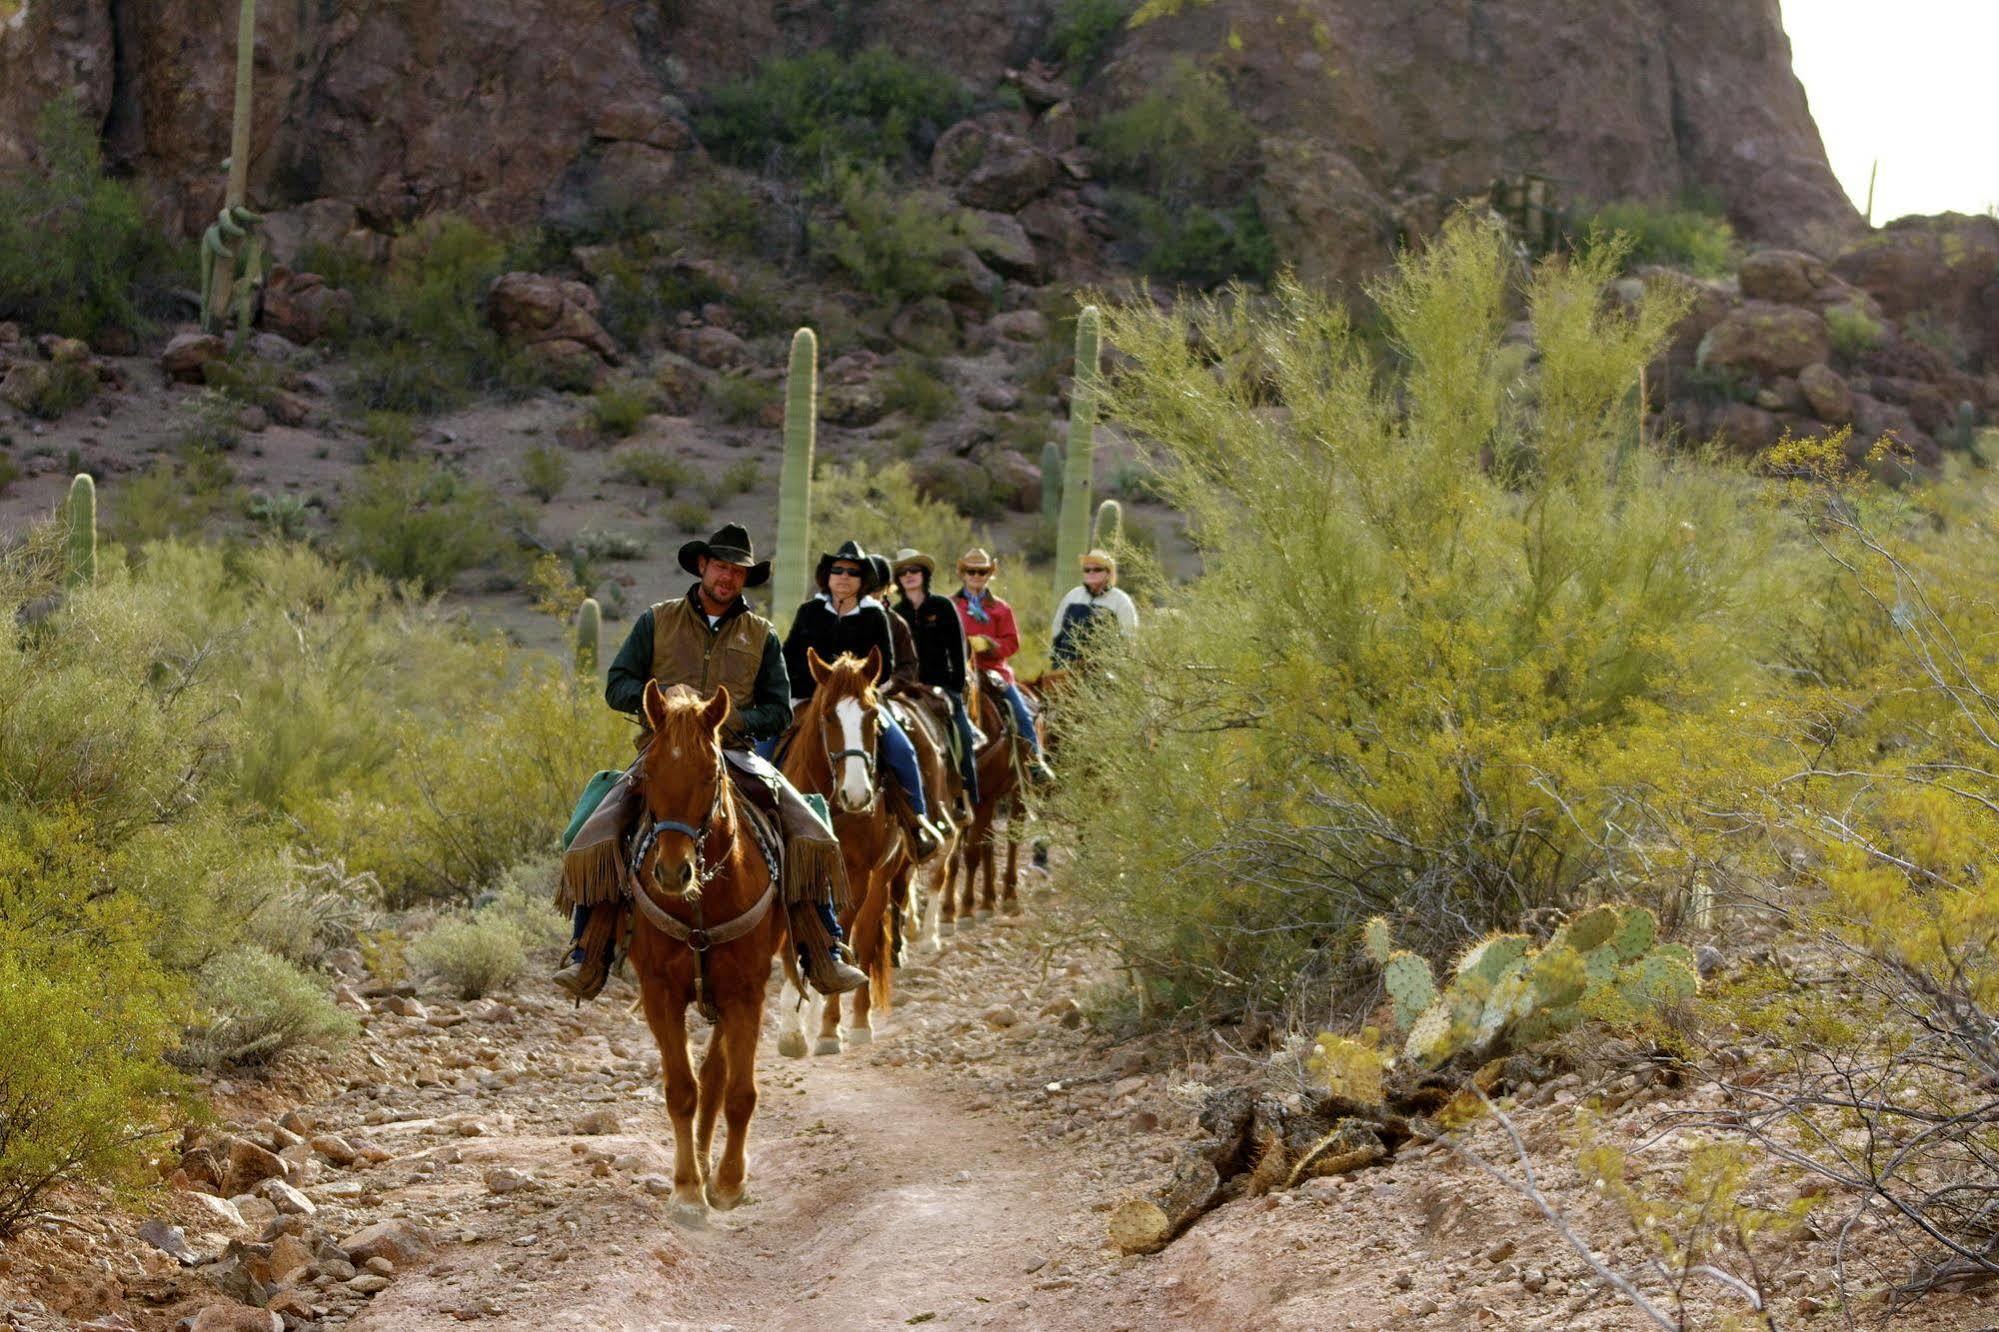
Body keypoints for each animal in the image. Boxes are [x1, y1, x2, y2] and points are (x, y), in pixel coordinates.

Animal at [627, 680, 783, 1216]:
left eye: (711, 773)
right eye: (648, 772)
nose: (674, 872)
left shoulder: (747, 992)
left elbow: (739, 1092)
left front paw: (730, 1181)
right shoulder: (658, 992)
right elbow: (681, 1090)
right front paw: (688, 1189)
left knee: (718, 1072)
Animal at [775, 648, 903, 1056]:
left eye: (873, 714)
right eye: (829, 715)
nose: (858, 795)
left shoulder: (857, 874)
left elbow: (842, 936)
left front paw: (828, 1027)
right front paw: (792, 1027)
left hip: (882, 876)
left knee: (864, 938)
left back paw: (858, 1023)